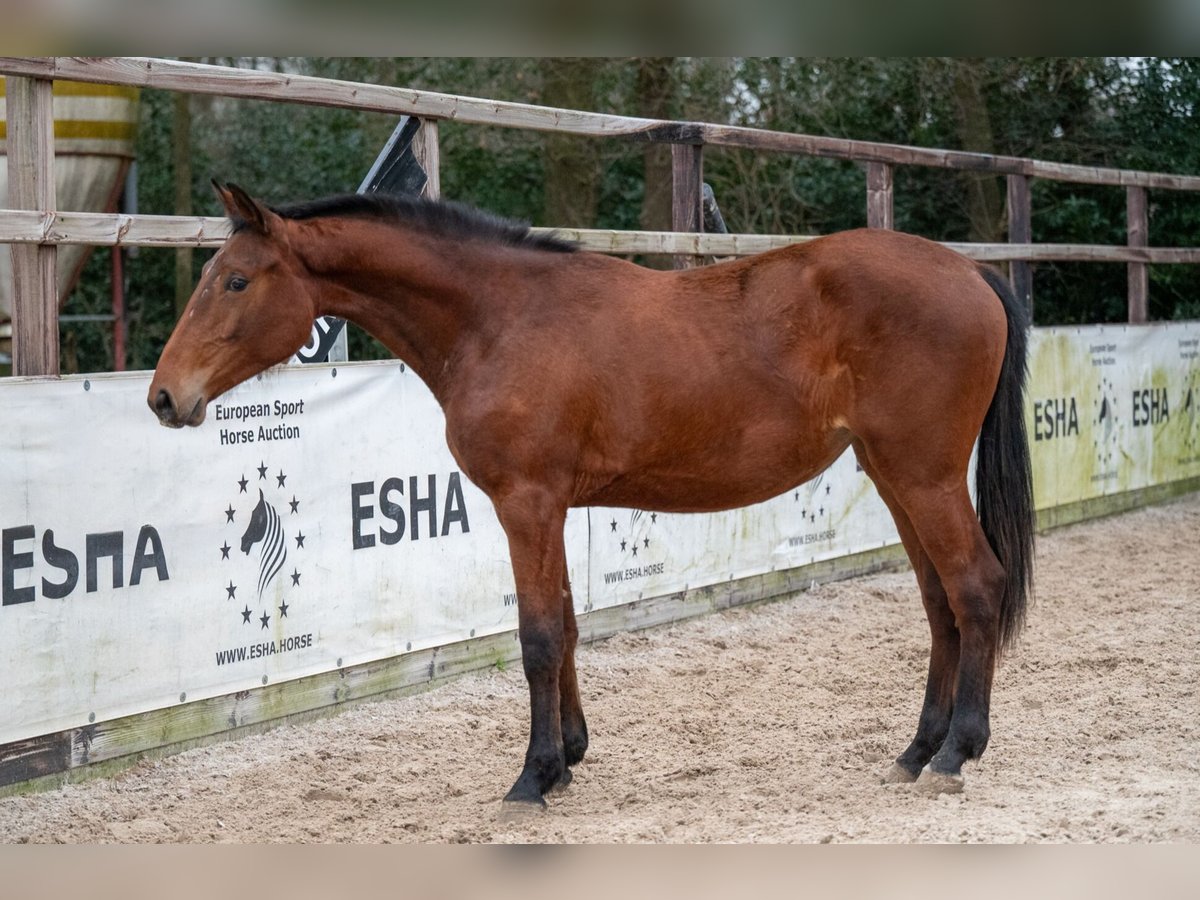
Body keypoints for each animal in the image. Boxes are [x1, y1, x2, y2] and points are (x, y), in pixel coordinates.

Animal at [147, 181, 1032, 811]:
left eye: (235, 280)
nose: (163, 397)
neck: (499, 318)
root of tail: (970, 270)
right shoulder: (551, 509)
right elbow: (568, 627)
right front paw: (567, 757)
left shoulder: (526, 503)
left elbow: (540, 638)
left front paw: (533, 777)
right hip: (895, 476)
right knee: (940, 603)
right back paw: (917, 750)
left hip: (922, 477)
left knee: (975, 588)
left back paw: (957, 752)